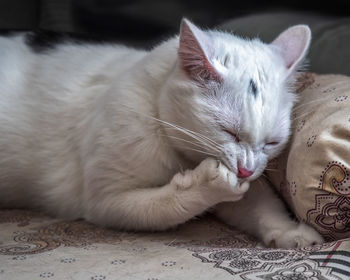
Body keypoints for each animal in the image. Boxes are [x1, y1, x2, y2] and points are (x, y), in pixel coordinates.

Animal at [0, 19, 324, 247]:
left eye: (271, 143)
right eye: (228, 132)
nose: (246, 170)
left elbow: (260, 204)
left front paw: (289, 231)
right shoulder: (103, 200)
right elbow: (165, 208)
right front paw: (207, 186)